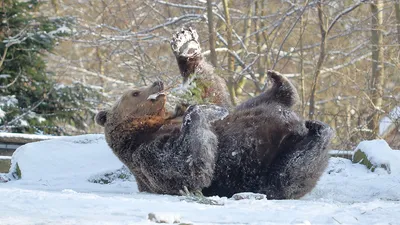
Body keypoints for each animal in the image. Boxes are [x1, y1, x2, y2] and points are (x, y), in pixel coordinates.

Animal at [96, 70, 334, 199]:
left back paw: (280, 83)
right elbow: (190, 169)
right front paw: (203, 110)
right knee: (293, 170)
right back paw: (319, 131)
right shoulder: (149, 153)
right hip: (271, 162)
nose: (157, 82)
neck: (147, 127)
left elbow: (236, 108)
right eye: (135, 92)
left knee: (264, 103)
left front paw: (210, 107)